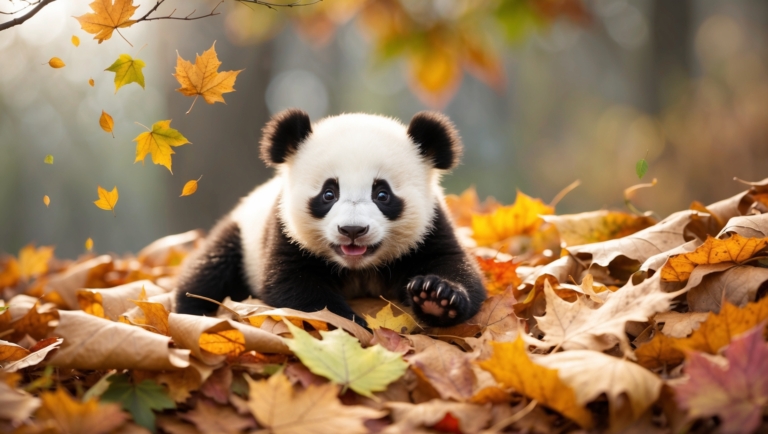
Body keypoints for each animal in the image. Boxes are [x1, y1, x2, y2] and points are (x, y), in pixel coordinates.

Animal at [175, 109, 487, 328]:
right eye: (328, 193)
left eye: (382, 194)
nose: (353, 230)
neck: (358, 268)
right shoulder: (284, 230)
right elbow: (294, 286)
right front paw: (352, 324)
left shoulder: (431, 227)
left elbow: (455, 267)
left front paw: (436, 297)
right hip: (242, 235)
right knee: (211, 268)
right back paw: (193, 310)